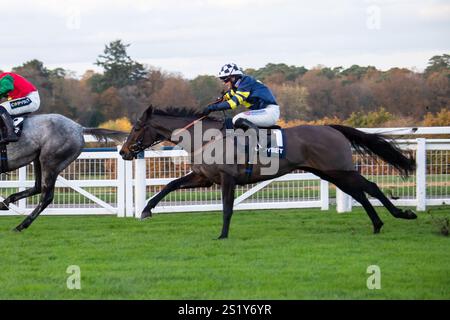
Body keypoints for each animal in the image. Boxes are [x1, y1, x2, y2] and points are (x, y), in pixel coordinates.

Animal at [119, 106, 418, 239]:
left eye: (136, 128)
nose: (123, 152)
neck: (206, 138)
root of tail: (331, 128)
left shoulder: (227, 178)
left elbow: (227, 208)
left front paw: (223, 235)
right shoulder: (204, 178)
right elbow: (169, 185)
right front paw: (145, 210)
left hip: (338, 169)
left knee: (370, 187)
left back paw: (402, 214)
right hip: (331, 174)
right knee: (360, 192)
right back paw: (377, 224)